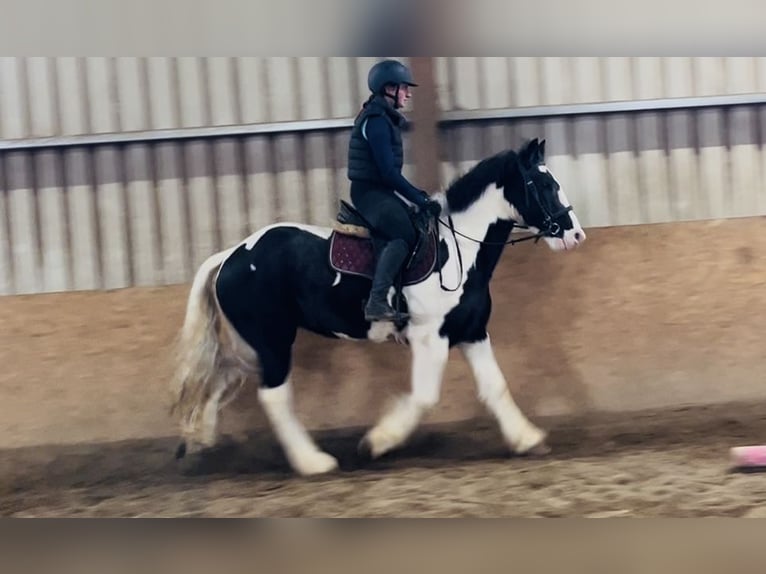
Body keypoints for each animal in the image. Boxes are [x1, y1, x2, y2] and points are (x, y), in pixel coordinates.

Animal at [170, 137, 586, 476]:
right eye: (544, 185)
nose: (575, 235)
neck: (458, 251)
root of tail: (231, 255)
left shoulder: (472, 332)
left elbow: (495, 387)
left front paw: (528, 439)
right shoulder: (430, 338)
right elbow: (424, 397)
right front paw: (378, 441)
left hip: (250, 346)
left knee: (221, 376)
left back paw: (199, 441)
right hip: (273, 342)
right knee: (273, 397)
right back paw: (313, 462)